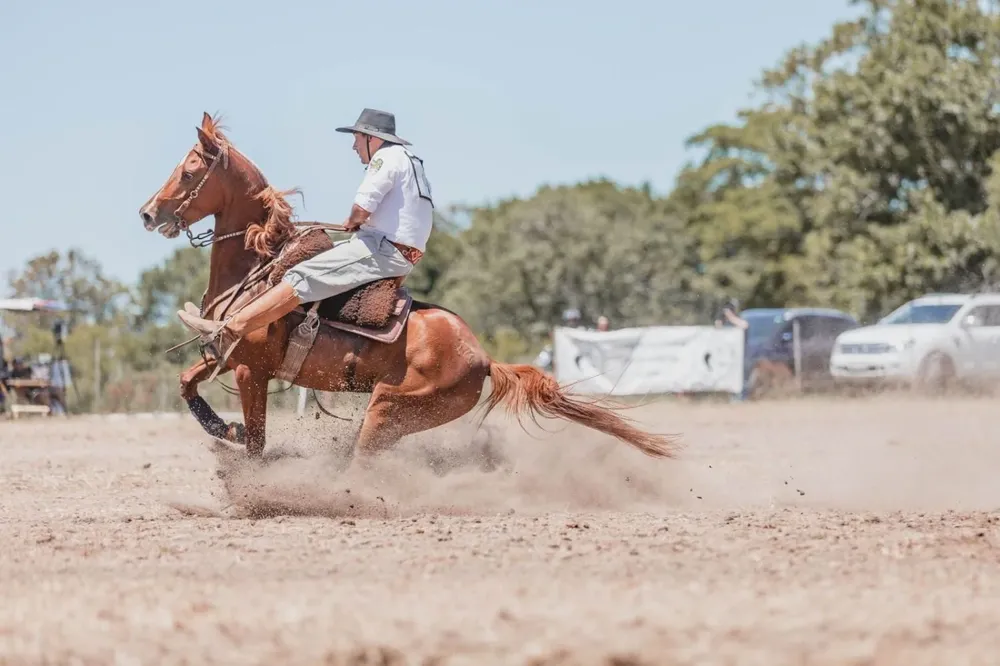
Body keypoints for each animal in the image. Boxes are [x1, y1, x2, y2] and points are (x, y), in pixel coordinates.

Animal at [137, 112, 681, 467]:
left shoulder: (252, 369)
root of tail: (485, 359)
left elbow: (255, 445)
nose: (147, 213)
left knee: (363, 460)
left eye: (189, 170)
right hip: (396, 418)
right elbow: (187, 383)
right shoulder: (226, 357)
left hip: (387, 407)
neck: (259, 264)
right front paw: (222, 427)